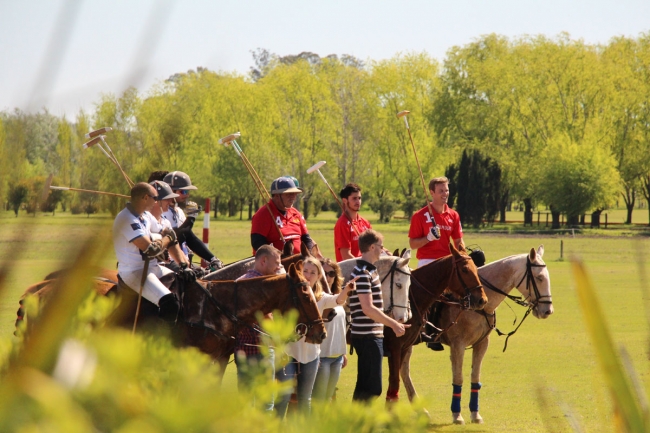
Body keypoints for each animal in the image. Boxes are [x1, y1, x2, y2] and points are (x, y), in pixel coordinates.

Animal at [382, 243, 484, 402]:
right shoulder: (394, 346)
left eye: (475, 267)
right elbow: (393, 384)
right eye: (465, 270)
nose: (482, 300)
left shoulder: (404, 346)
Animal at [400, 245, 552, 424]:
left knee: (404, 371)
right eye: (539, 277)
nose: (548, 310)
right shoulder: (457, 345)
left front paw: (475, 414)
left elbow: (475, 377)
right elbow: (458, 378)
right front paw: (457, 415)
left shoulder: (482, 343)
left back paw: (421, 410)